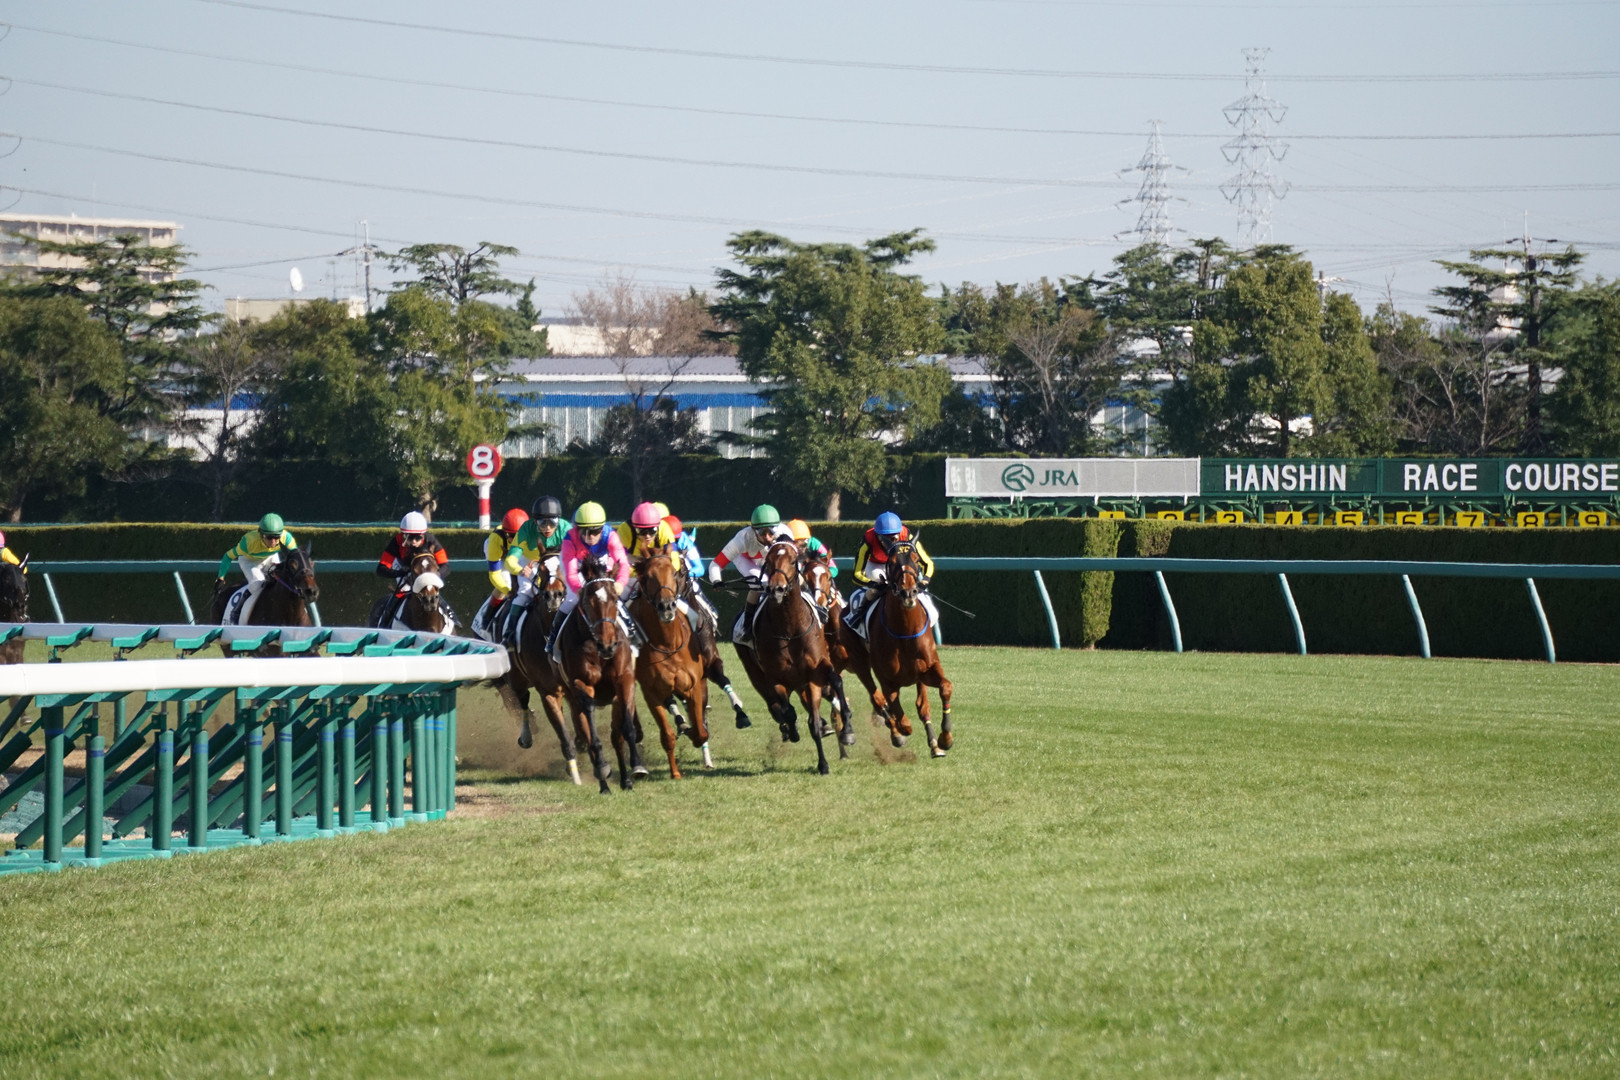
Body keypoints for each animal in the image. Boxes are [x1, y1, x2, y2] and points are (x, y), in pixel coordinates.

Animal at [494, 555, 581, 785]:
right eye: (541, 570)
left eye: (563, 566)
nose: (553, 595)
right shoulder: (548, 691)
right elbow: (563, 732)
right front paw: (574, 772)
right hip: (516, 677)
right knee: (522, 699)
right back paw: (526, 736)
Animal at [556, 553, 644, 793]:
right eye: (588, 601)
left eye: (614, 599)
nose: (607, 645)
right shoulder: (581, 684)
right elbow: (592, 734)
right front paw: (603, 767)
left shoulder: (624, 680)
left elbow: (627, 730)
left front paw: (636, 766)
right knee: (587, 733)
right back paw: (604, 783)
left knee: (617, 737)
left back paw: (626, 780)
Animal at [628, 551, 713, 778]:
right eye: (648, 577)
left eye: (675, 573)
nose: (666, 606)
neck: (667, 644)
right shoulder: (652, 693)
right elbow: (667, 735)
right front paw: (675, 773)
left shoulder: (693, 686)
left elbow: (701, 731)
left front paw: (693, 731)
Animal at [735, 540, 838, 775]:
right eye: (768, 561)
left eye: (793, 561)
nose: (776, 589)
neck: (790, 627)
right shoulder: (776, 679)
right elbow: (788, 711)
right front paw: (792, 729)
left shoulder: (813, 675)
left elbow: (815, 720)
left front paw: (823, 764)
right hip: (756, 675)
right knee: (775, 706)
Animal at [862, 539, 953, 758]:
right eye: (892, 561)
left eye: (916, 559)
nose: (909, 592)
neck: (903, 632)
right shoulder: (887, 679)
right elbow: (899, 716)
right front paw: (899, 731)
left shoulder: (927, 669)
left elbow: (944, 688)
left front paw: (945, 739)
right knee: (877, 698)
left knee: (922, 706)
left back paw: (934, 744)